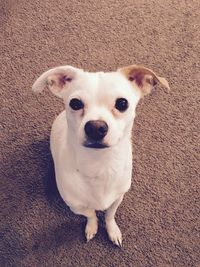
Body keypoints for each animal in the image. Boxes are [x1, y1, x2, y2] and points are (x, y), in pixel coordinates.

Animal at [32, 64, 169, 247]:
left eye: (122, 103)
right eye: (75, 103)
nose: (95, 127)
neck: (100, 164)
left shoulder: (118, 198)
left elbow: (110, 215)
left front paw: (112, 230)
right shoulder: (76, 206)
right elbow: (90, 214)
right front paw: (92, 227)